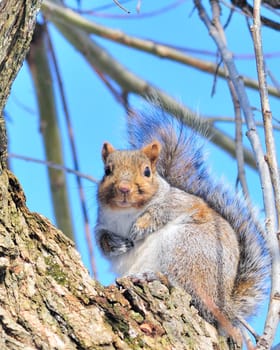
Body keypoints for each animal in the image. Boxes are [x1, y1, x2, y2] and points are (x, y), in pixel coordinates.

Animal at [95, 104, 270, 330]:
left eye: (147, 171)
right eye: (107, 171)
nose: (124, 188)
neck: (127, 212)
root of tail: (223, 309)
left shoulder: (180, 201)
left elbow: (163, 211)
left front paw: (141, 226)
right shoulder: (102, 220)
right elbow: (101, 238)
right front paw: (114, 243)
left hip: (187, 249)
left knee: (186, 288)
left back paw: (154, 276)